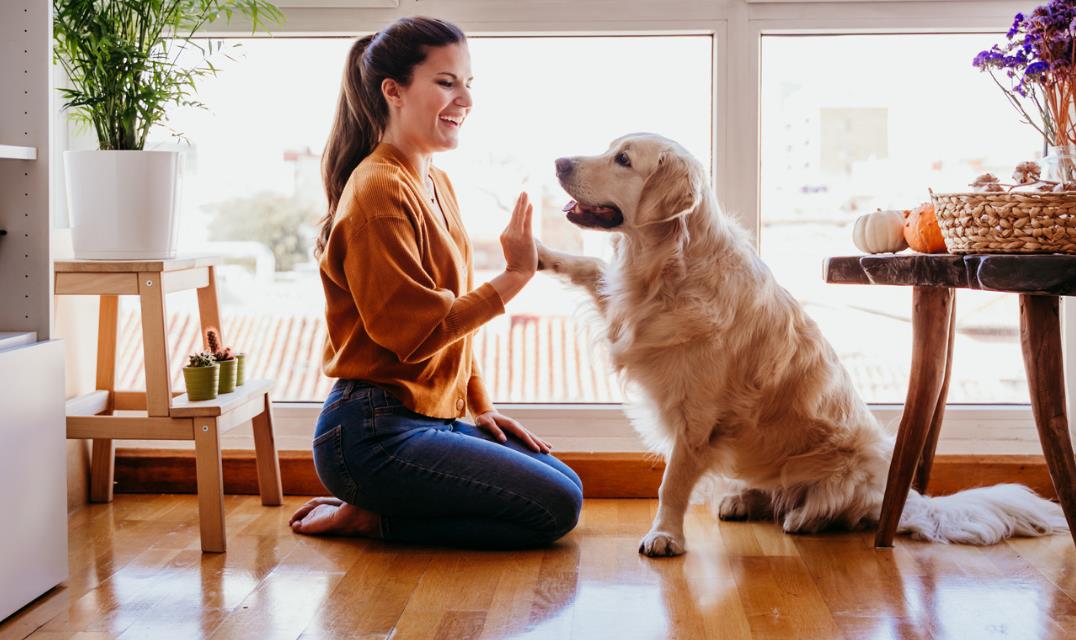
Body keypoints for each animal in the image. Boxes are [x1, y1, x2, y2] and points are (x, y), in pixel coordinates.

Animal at [538, 133, 1067, 555]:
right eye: (610, 149)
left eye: (623, 160)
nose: (558, 161)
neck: (667, 267)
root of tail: (901, 497)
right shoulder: (626, 310)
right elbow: (589, 268)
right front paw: (539, 253)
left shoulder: (697, 417)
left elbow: (672, 484)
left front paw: (665, 535)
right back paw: (742, 499)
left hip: (849, 465)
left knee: (834, 509)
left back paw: (803, 517)